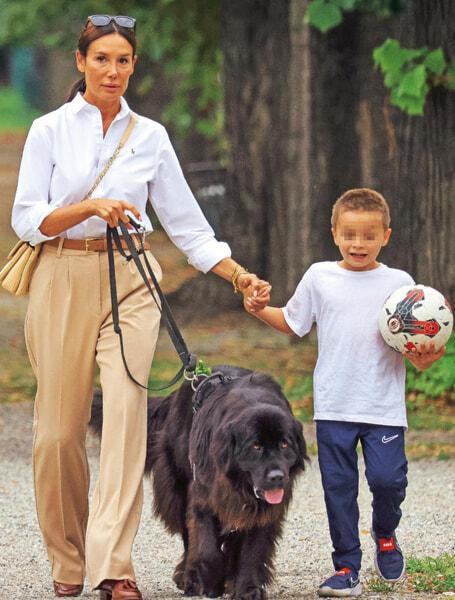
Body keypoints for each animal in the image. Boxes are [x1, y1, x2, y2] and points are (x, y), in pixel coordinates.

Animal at [91, 366, 308, 600]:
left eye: (284, 444)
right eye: (256, 446)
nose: (277, 476)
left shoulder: (262, 511)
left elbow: (252, 550)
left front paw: (247, 589)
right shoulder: (204, 498)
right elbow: (207, 549)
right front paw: (211, 581)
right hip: (178, 487)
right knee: (189, 539)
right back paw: (190, 578)